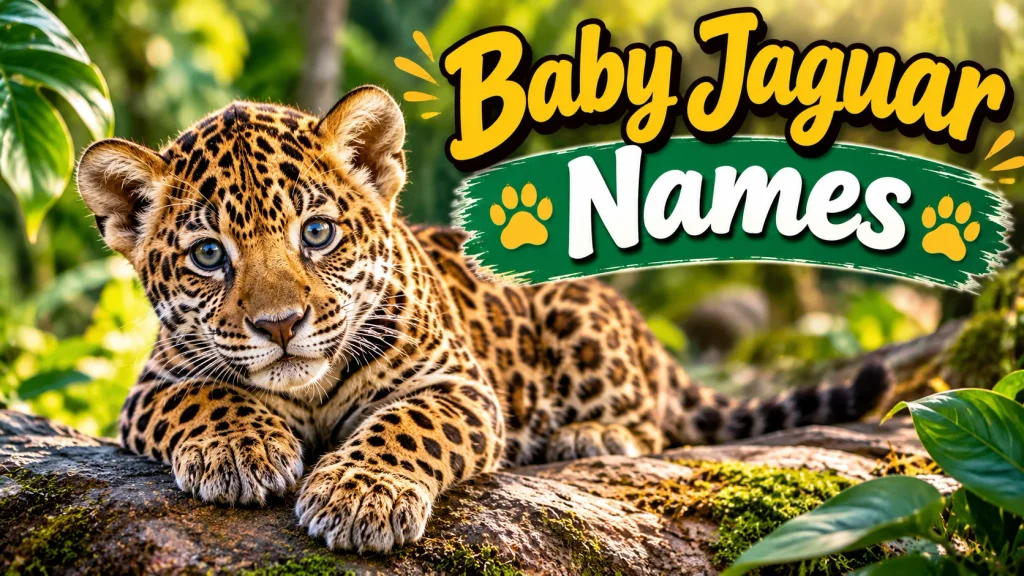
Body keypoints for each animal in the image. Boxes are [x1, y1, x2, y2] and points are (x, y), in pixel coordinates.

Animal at [76, 85, 893, 553]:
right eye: (209, 254)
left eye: (317, 233)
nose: (280, 324)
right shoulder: (151, 385)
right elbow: (206, 393)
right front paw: (238, 450)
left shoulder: (458, 384)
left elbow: (405, 426)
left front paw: (361, 495)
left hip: (579, 319)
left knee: (654, 416)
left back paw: (590, 434)